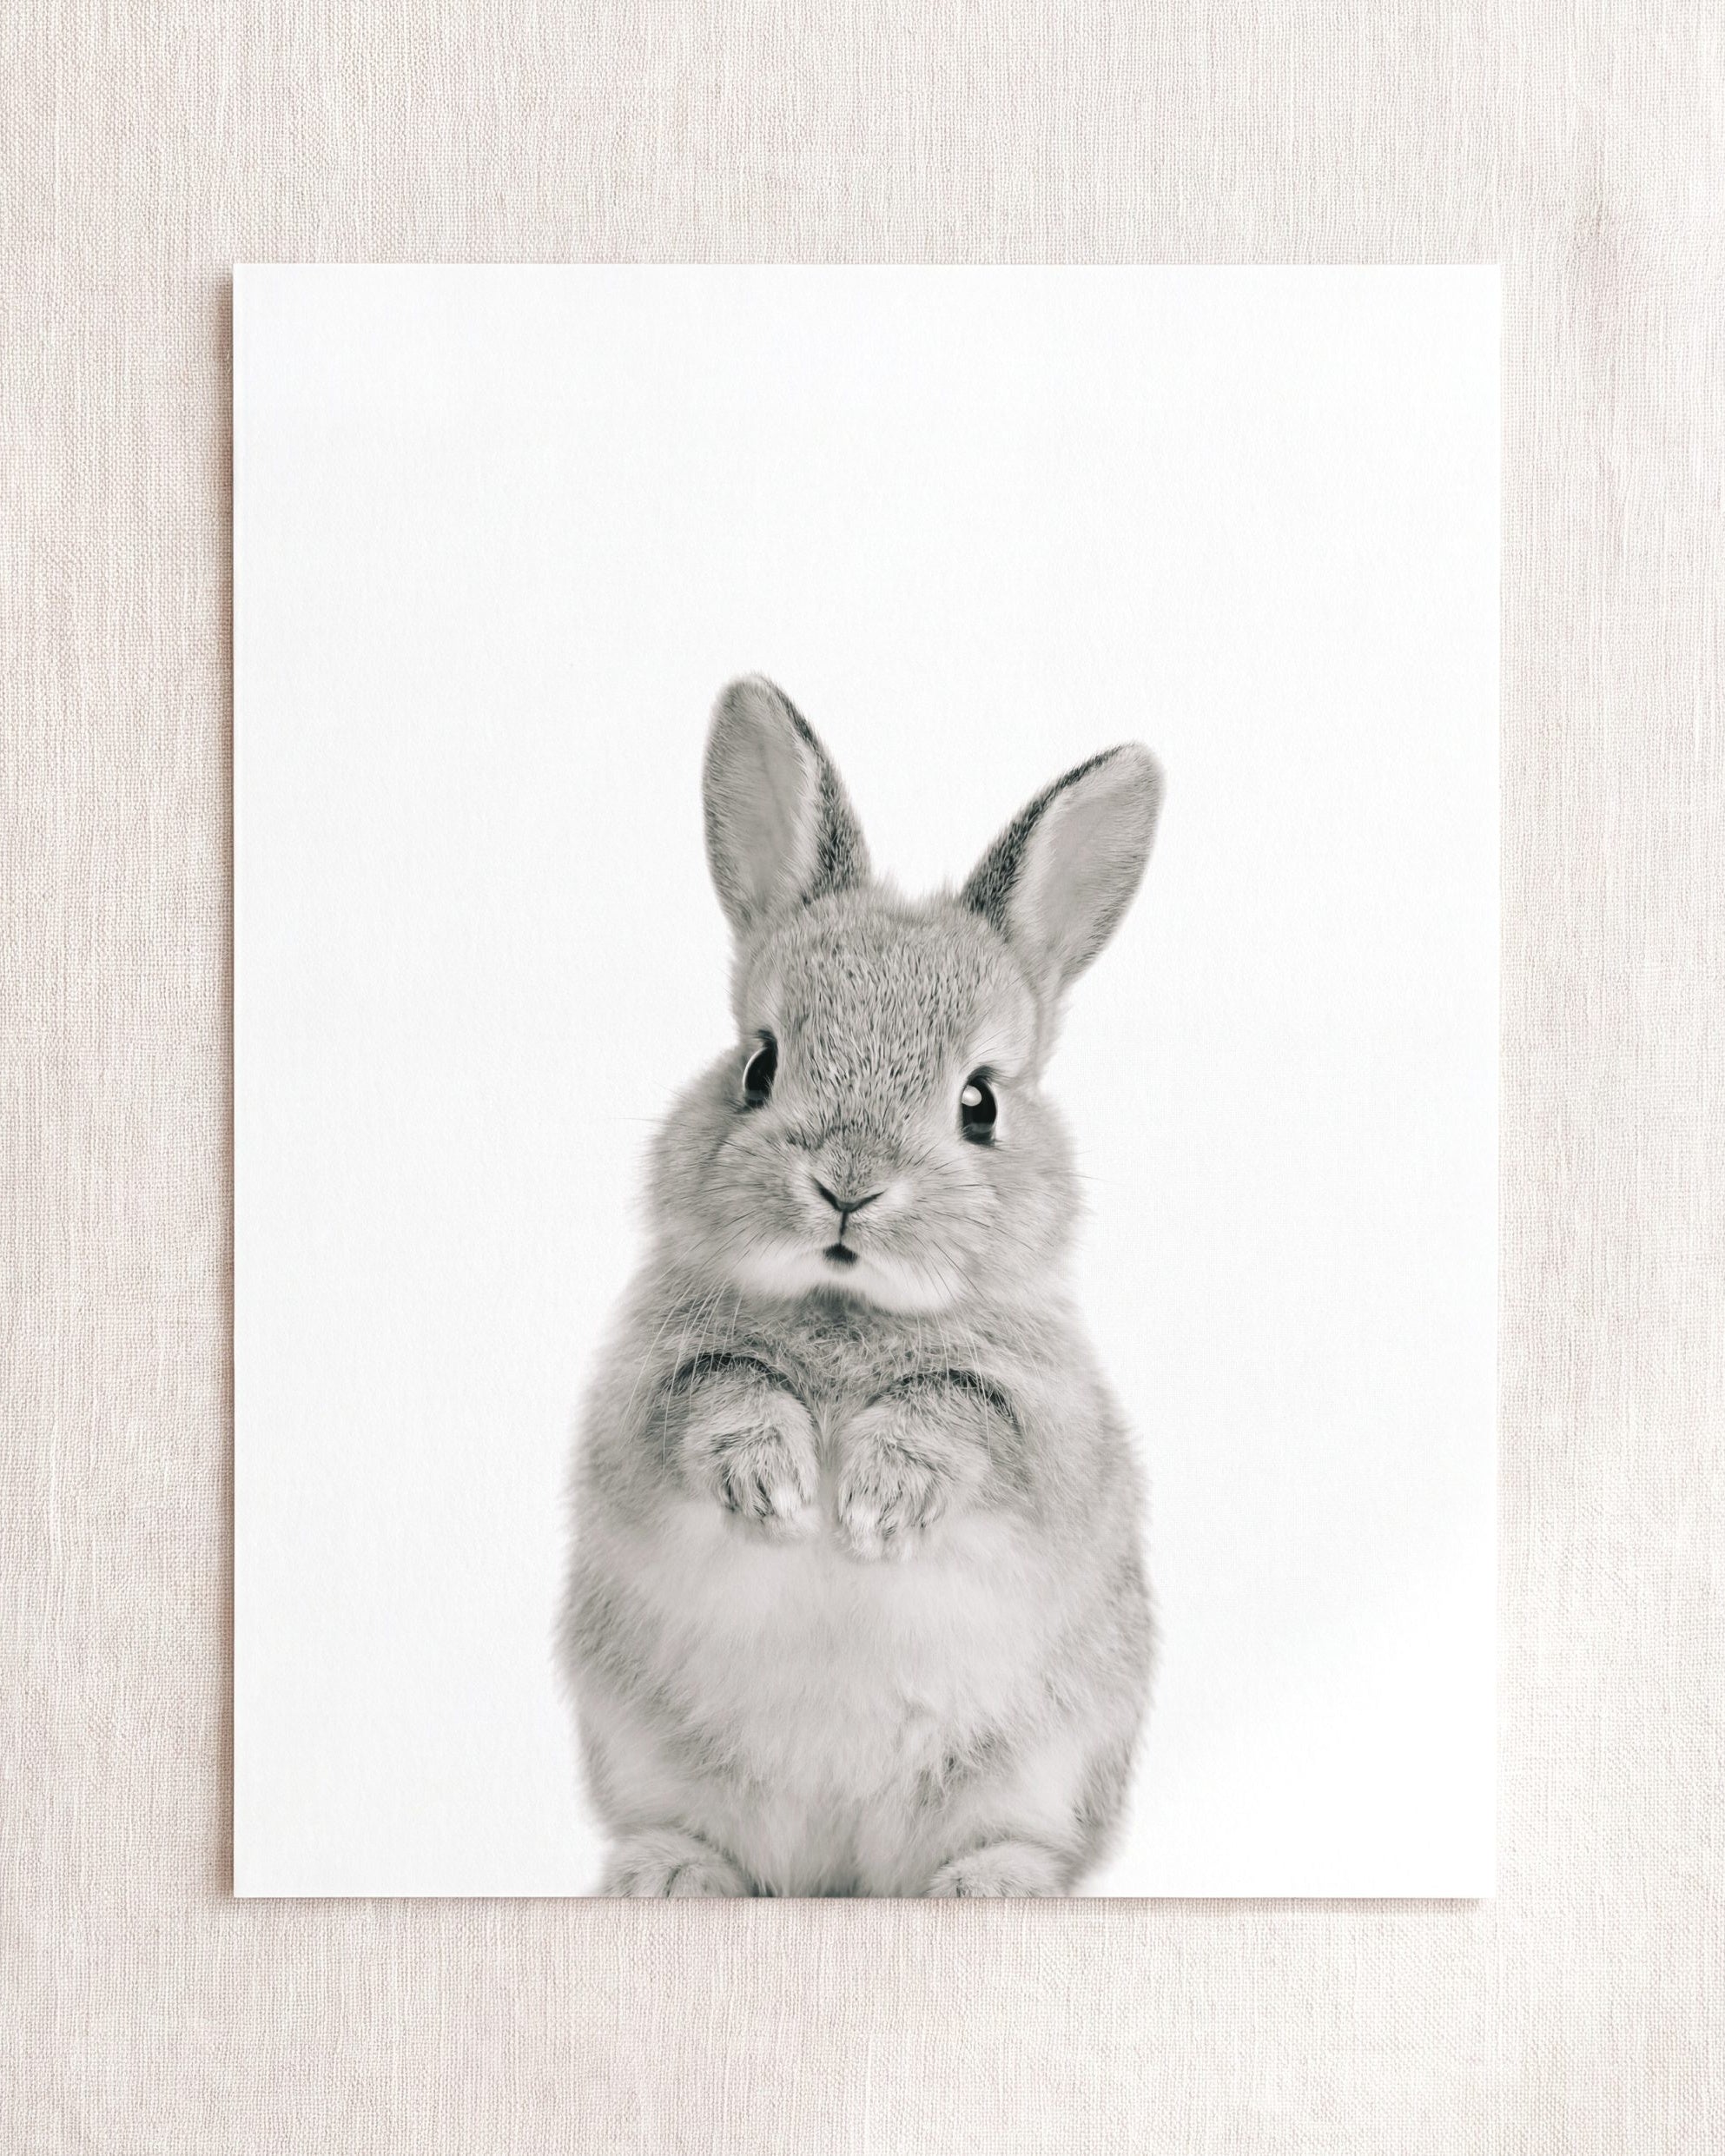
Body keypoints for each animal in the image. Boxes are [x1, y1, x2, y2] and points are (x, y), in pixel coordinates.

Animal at [560, 675, 1162, 1897]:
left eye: (981, 1102)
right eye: (759, 1065)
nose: (847, 1186)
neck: (849, 1311)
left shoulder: (1045, 1430)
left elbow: (958, 1413)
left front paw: (877, 1500)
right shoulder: (644, 1399)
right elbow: (718, 1391)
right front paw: (779, 1485)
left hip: (1043, 1766)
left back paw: (991, 1887)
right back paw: (670, 1875)